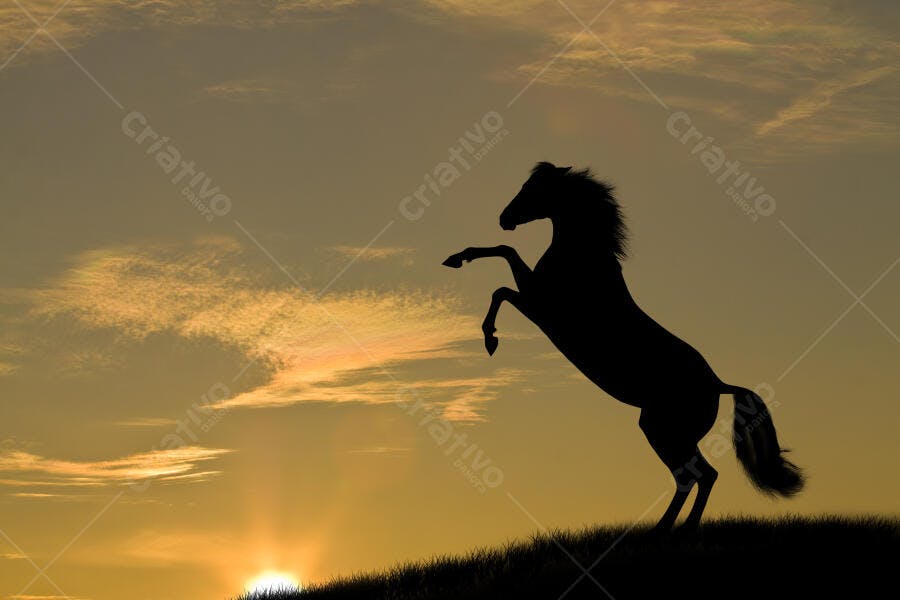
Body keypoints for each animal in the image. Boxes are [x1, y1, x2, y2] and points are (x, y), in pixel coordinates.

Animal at [443, 161, 804, 530]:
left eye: (534, 189)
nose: (505, 218)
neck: (582, 260)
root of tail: (718, 384)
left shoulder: (541, 307)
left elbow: (502, 283)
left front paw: (490, 337)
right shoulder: (536, 301)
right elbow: (506, 252)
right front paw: (457, 258)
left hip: (667, 431)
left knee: (697, 475)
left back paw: (671, 528)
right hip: (667, 432)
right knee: (697, 476)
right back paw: (669, 528)